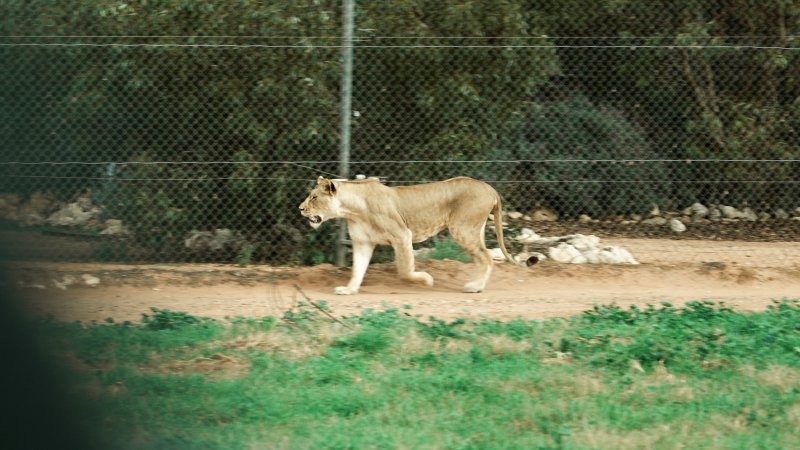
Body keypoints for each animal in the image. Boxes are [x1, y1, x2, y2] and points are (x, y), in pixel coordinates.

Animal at [299, 176, 515, 295]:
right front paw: (349, 290)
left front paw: (426, 280)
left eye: (314, 197)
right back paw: (476, 285)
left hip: (462, 228)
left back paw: (475, 286)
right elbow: (357, 270)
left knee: (486, 258)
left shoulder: (402, 235)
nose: (300, 208)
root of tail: (490, 188)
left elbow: (404, 270)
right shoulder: (362, 243)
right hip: (473, 229)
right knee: (482, 257)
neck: (352, 210)